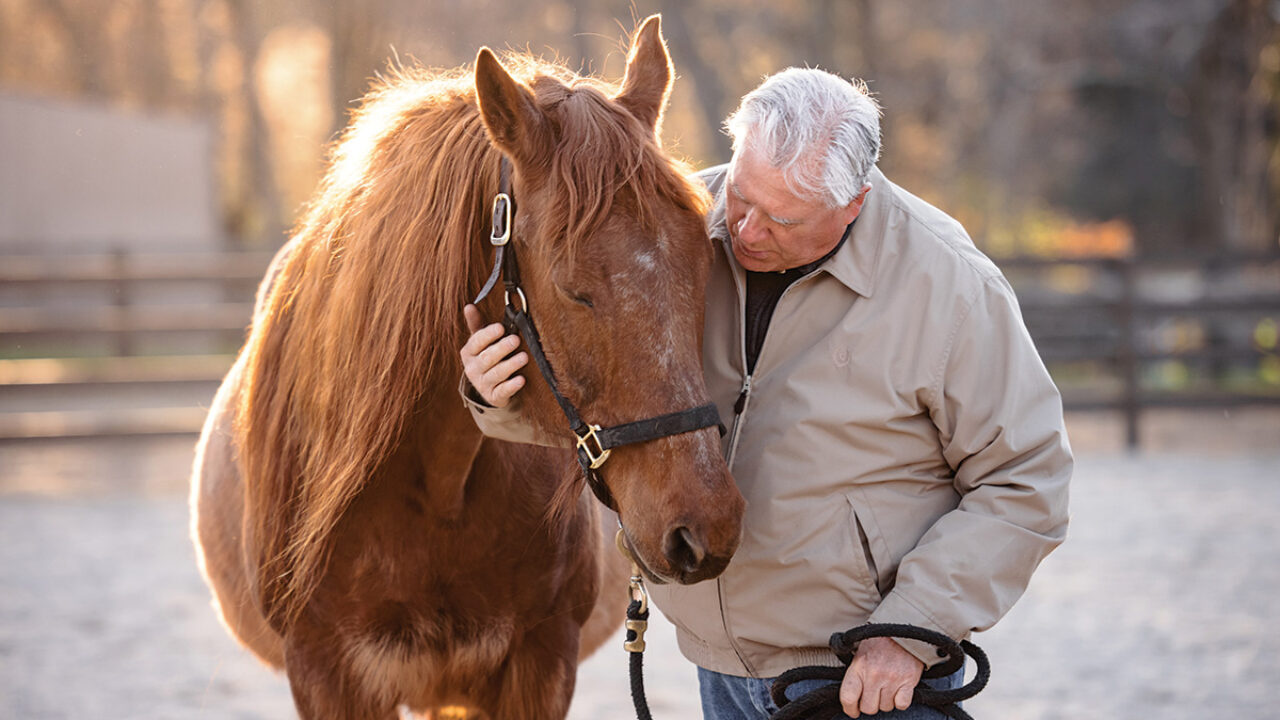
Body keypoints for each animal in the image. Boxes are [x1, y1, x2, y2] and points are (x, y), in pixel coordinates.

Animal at [186, 15, 742, 717]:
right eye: (573, 289)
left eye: (705, 264)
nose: (705, 527)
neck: (432, 482)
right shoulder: (325, 673)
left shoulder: (539, 662)